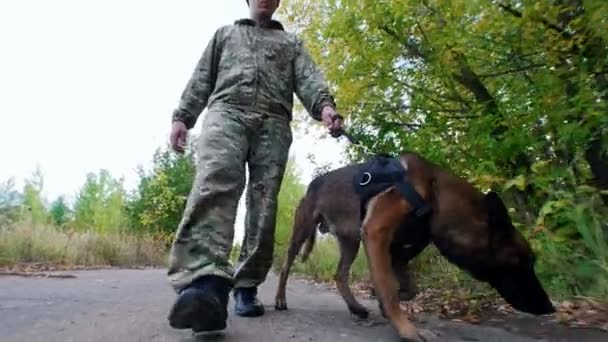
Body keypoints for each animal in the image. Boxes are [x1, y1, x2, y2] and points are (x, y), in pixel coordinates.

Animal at [276, 152, 556, 342]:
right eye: (523, 262)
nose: (550, 308)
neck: (436, 194)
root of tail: (312, 184)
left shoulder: (398, 250)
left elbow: (407, 288)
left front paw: (385, 303)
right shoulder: (377, 234)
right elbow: (389, 288)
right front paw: (406, 329)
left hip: (350, 241)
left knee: (340, 275)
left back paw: (355, 307)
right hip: (302, 232)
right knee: (285, 267)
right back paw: (280, 299)